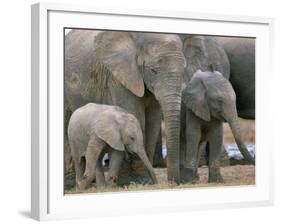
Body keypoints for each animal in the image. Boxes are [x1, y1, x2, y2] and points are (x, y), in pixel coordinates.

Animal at [64, 29, 185, 184]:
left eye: (184, 70)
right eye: (153, 70)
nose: (172, 182)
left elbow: (153, 120)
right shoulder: (118, 76)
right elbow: (136, 115)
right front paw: (141, 181)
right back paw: (71, 183)